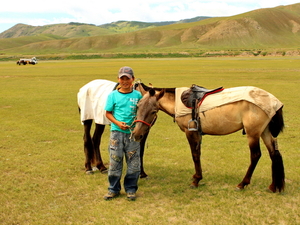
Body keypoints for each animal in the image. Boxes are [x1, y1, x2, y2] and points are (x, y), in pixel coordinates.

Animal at [132, 83, 284, 192]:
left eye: (153, 111)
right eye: (137, 107)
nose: (136, 134)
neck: (178, 103)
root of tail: (273, 101)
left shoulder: (190, 132)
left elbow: (194, 155)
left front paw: (196, 180)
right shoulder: (197, 133)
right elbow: (198, 154)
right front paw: (197, 177)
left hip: (253, 133)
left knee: (255, 155)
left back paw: (242, 184)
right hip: (265, 132)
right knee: (274, 154)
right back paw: (273, 186)